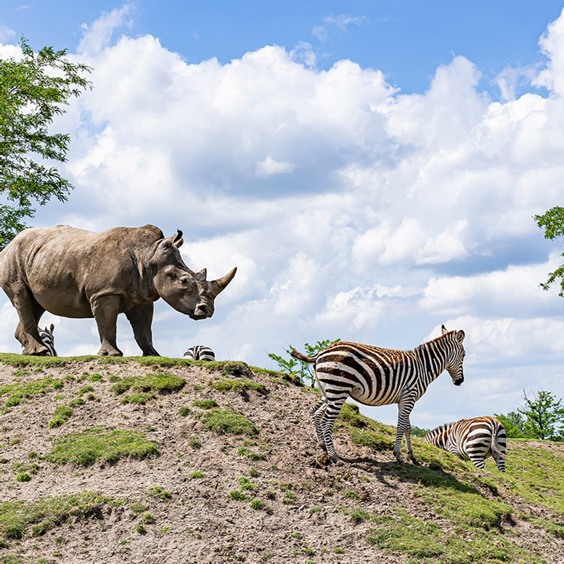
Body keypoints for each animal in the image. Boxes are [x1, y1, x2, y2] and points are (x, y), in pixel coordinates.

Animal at [290, 326, 468, 462]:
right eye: (464, 355)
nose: (460, 381)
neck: (424, 366)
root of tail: (320, 353)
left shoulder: (405, 399)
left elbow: (408, 427)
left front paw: (412, 456)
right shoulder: (409, 396)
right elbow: (401, 426)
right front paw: (398, 455)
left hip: (328, 390)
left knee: (314, 412)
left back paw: (323, 446)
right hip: (339, 390)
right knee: (327, 421)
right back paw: (334, 456)